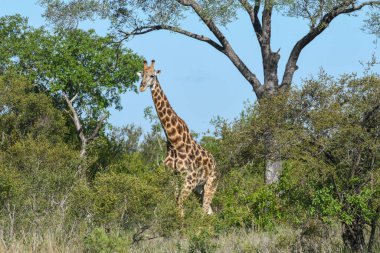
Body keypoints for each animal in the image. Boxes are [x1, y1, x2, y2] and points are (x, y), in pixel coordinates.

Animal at [138, 59, 218, 215]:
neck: (174, 141)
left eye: (152, 75)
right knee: (209, 212)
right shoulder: (172, 176)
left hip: (211, 183)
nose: (142, 87)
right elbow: (176, 204)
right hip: (199, 189)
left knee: (204, 211)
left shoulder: (190, 179)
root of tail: (215, 163)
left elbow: (179, 205)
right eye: (142, 75)